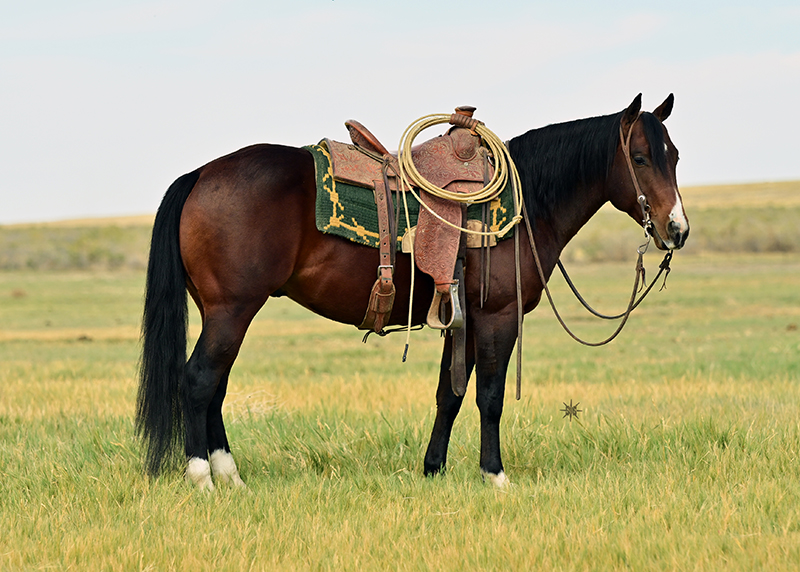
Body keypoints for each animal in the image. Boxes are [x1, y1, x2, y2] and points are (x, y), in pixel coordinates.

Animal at [136, 94, 689, 490]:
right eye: (641, 157)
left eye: (676, 156)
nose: (677, 229)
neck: (525, 203)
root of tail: (201, 175)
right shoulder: (498, 315)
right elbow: (489, 396)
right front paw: (495, 475)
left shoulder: (463, 319)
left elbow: (450, 393)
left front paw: (433, 469)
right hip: (232, 311)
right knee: (199, 381)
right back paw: (204, 479)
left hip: (222, 314)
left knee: (215, 386)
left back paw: (231, 476)